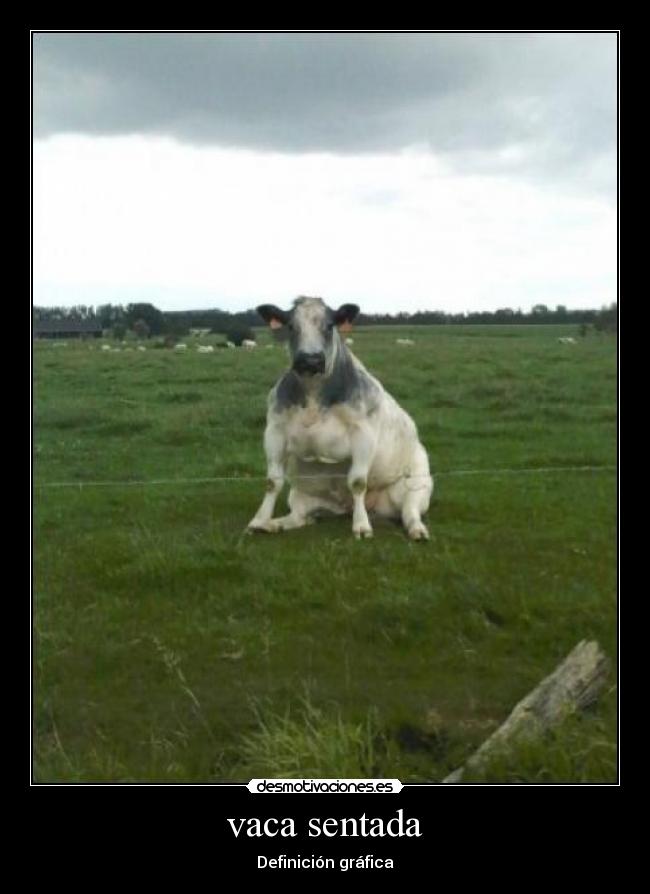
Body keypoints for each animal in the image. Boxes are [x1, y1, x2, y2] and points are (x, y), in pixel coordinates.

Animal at [247, 296, 433, 540]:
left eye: (329, 326)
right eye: (291, 326)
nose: (310, 360)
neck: (314, 395)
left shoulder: (363, 434)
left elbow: (358, 482)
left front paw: (361, 526)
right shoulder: (274, 431)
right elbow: (272, 482)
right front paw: (259, 520)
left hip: (417, 484)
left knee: (409, 511)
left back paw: (416, 529)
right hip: (300, 494)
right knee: (299, 517)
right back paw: (274, 524)